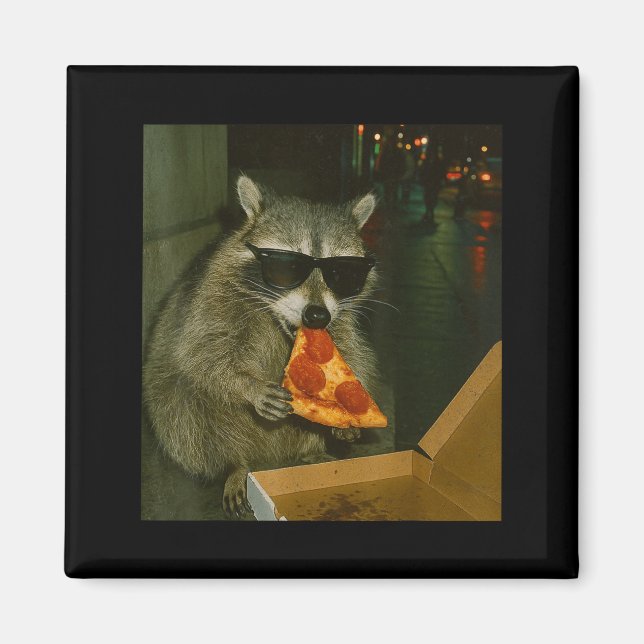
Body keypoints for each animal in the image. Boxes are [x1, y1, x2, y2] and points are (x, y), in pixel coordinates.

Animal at [143, 175, 381, 517]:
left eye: (341, 272)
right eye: (287, 267)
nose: (317, 315)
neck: (278, 321)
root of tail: (269, 456)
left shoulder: (340, 321)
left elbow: (352, 353)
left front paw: (346, 406)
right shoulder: (212, 300)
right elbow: (201, 354)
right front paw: (247, 385)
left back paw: (309, 453)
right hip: (173, 403)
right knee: (184, 410)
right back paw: (234, 464)